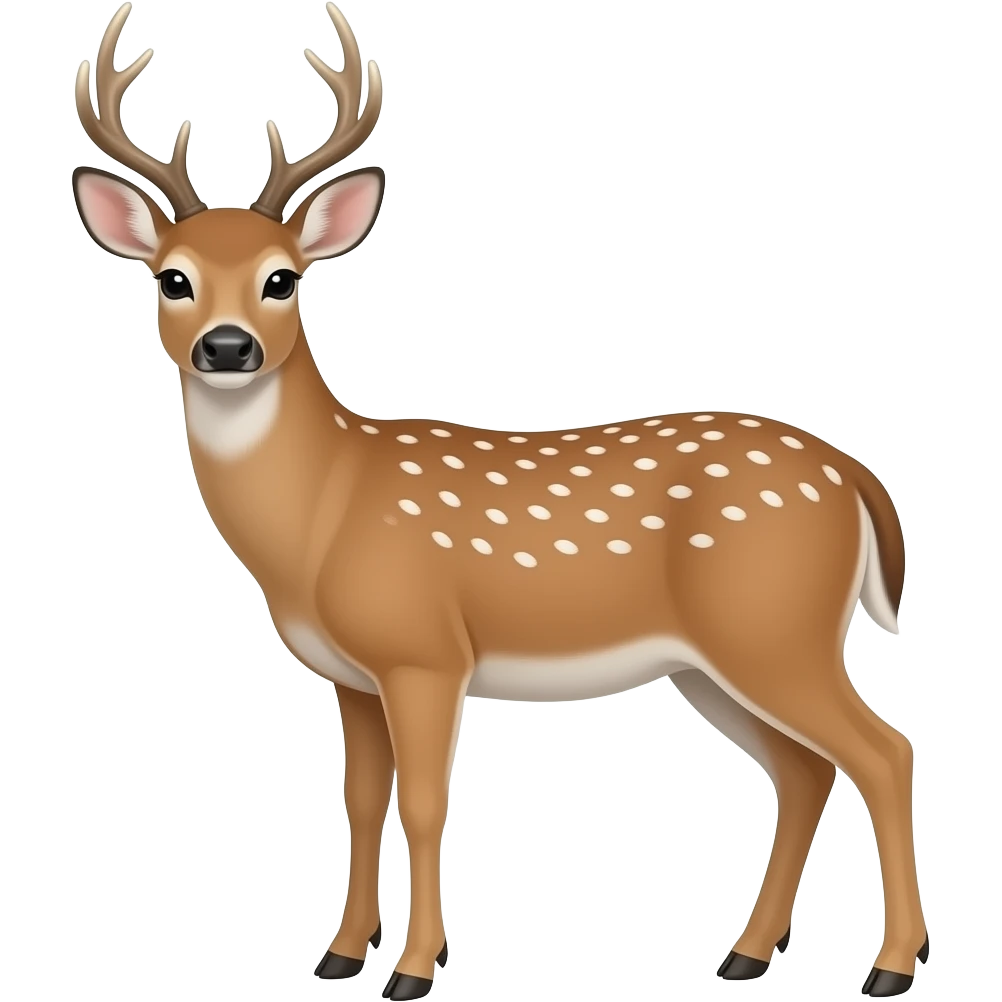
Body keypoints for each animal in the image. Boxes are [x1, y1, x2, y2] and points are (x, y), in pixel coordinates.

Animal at [71, 3, 926, 998]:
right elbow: (361, 801)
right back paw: (745, 955)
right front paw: (339, 955)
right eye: (171, 277)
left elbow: (425, 802)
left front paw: (412, 969)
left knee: (884, 750)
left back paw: (890, 967)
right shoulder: (352, 676)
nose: (227, 346)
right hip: (715, 660)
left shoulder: (426, 651)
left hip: (774, 625)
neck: (323, 515)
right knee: (804, 770)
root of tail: (855, 477)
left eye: (283, 278)